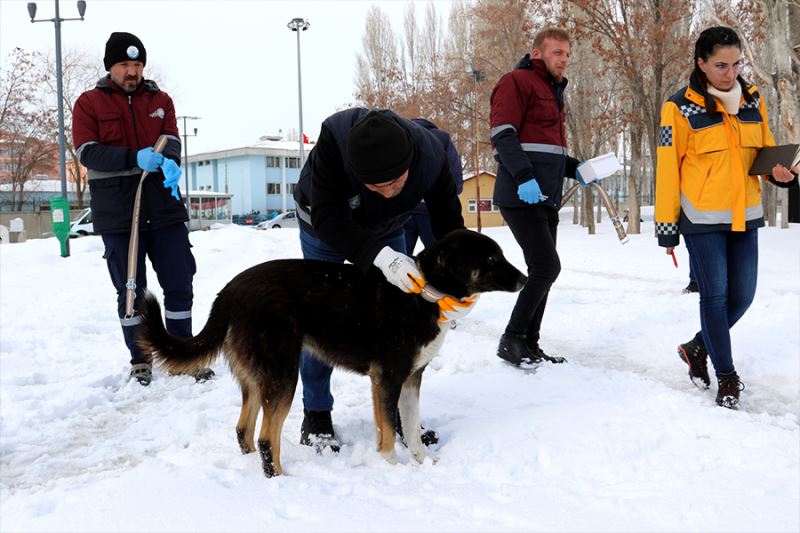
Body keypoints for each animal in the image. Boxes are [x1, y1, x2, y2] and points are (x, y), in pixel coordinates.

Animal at [138, 227, 524, 476]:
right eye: (491, 258)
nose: (524, 279)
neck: (423, 291)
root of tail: (230, 290)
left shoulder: (411, 378)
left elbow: (411, 428)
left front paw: (423, 462)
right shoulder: (387, 378)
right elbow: (387, 430)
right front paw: (394, 467)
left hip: (257, 379)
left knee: (243, 430)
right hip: (283, 374)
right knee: (265, 437)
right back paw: (280, 480)